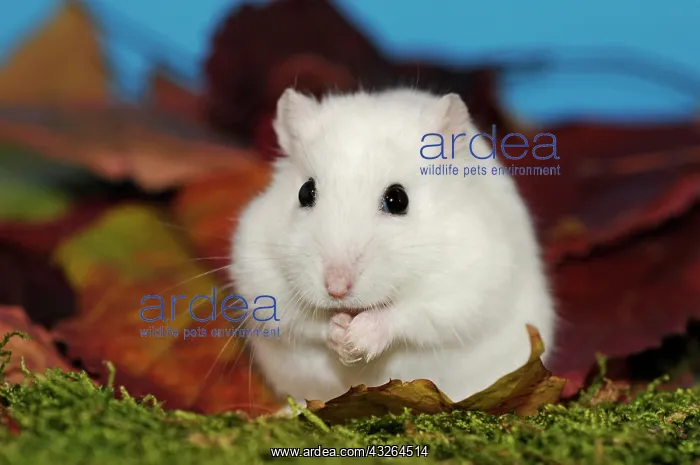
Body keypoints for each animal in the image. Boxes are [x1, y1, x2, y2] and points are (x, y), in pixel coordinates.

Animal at [230, 87, 557, 408]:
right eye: (304, 192)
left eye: (398, 199)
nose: (336, 289)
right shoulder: (262, 282)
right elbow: (307, 322)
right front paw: (342, 339)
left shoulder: (461, 287)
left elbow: (407, 313)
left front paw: (357, 340)